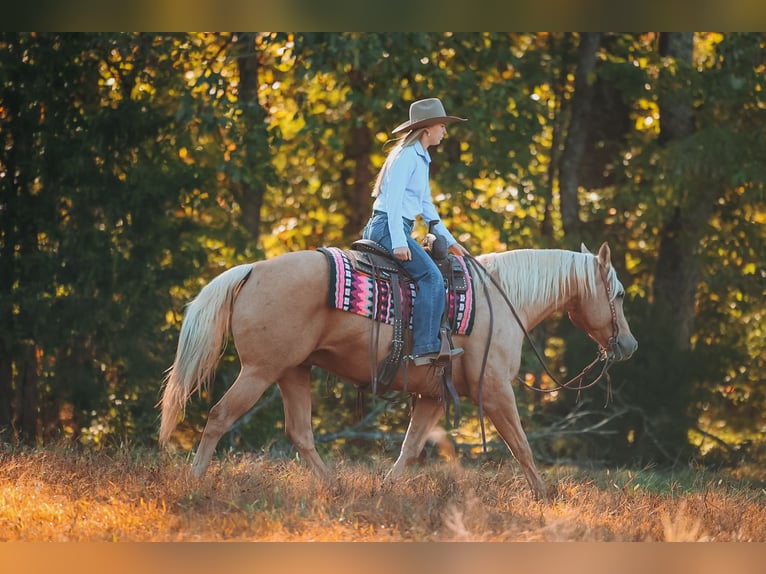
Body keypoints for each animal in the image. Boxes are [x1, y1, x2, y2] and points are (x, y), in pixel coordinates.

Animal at [159, 241, 637, 500]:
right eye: (617, 293)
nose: (629, 346)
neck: (502, 301)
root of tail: (253, 269)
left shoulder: (432, 396)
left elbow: (409, 449)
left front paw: (384, 490)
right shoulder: (497, 389)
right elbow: (521, 445)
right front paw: (544, 496)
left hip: (293, 371)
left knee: (300, 434)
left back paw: (336, 488)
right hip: (259, 371)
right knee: (219, 416)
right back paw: (193, 482)